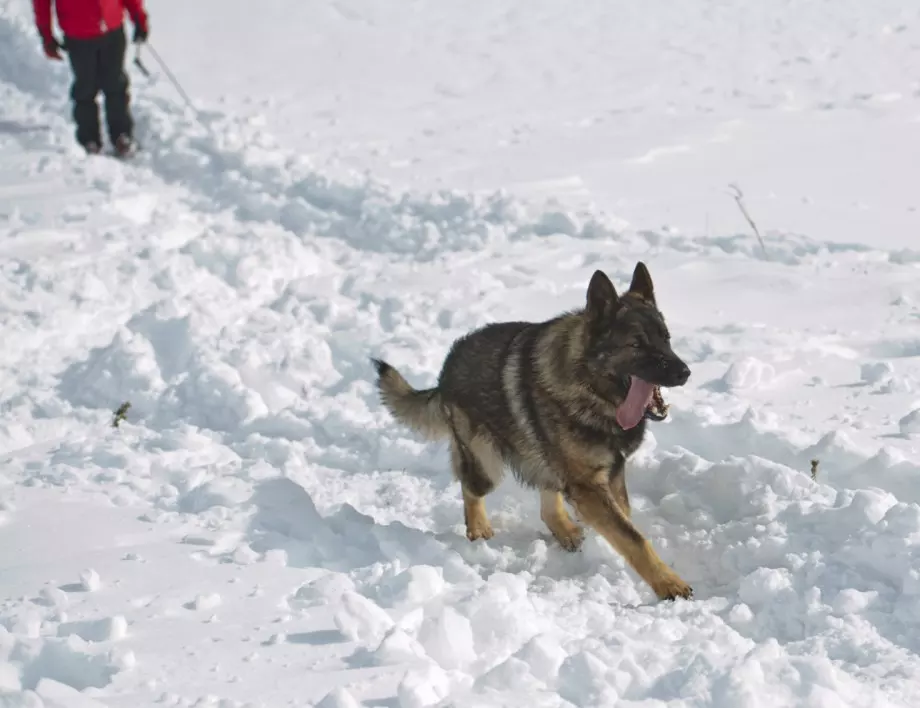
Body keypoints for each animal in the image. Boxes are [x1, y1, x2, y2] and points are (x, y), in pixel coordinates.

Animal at [370, 262, 692, 600]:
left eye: (666, 339)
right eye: (636, 344)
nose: (685, 372)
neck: (589, 387)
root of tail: (446, 369)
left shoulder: (611, 475)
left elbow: (626, 522)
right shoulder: (588, 486)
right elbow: (634, 538)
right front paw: (669, 583)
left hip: (541, 457)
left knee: (547, 502)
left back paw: (566, 531)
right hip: (488, 466)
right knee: (470, 486)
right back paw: (478, 529)